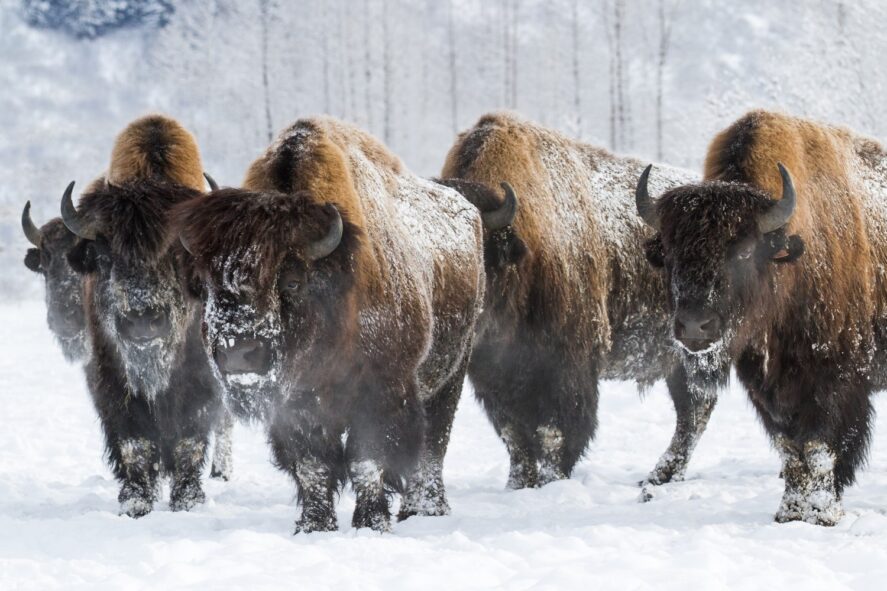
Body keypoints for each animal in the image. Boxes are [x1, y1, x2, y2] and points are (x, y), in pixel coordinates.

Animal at [58, 115, 225, 520]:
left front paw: (187, 500)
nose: (143, 320)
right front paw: (135, 503)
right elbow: (134, 442)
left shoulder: (201, 383)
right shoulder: (111, 381)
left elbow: (189, 439)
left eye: (177, 255)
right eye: (104, 255)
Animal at [175, 118, 486, 536]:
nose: (238, 353)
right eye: (206, 284)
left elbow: (367, 461)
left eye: (291, 282)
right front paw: (313, 525)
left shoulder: (380, 394)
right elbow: (312, 465)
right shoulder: (296, 407)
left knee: (434, 443)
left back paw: (425, 508)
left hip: (450, 374)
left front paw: (372, 524)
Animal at [440, 112, 720, 494]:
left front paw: (551, 480)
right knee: (690, 411)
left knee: (695, 411)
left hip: (695, 353)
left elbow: (554, 432)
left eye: (477, 245)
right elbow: (515, 435)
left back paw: (658, 476)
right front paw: (518, 484)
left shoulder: (566, 366)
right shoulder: (493, 375)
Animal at [636, 108, 884, 524]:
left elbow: (820, 446)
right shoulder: (764, 384)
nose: (694, 326)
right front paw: (789, 511)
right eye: (668, 253)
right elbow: (789, 446)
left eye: (743, 251)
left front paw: (822, 513)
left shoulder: (837, 378)